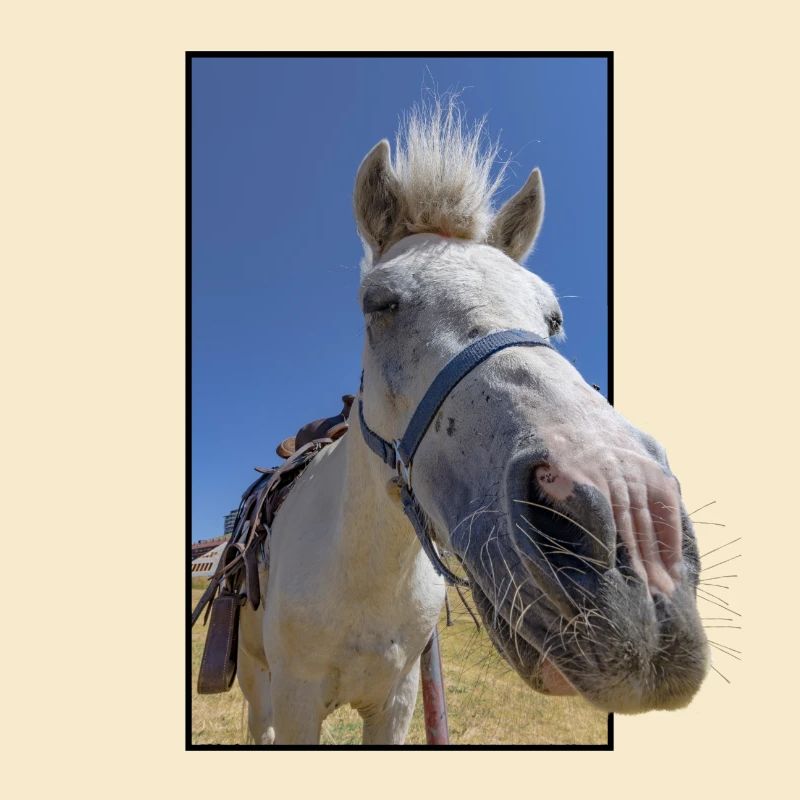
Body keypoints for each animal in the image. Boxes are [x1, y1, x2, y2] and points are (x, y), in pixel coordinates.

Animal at [235, 101, 708, 745]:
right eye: (379, 304)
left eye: (553, 317)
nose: (630, 520)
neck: (364, 575)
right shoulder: (296, 699)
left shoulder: (398, 700)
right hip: (257, 682)